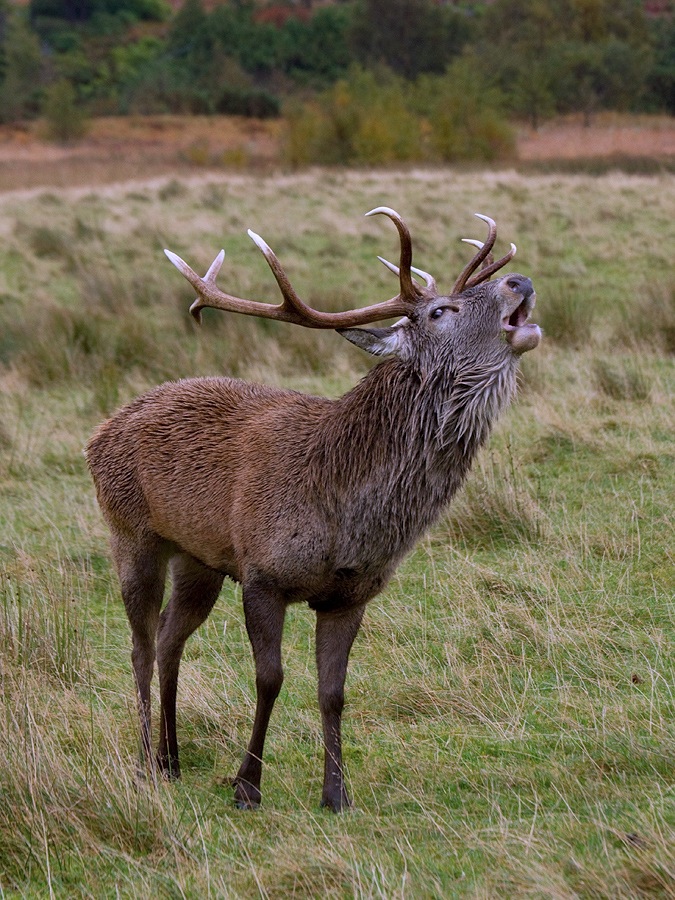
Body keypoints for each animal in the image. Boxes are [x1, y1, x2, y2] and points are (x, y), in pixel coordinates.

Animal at [86, 207, 540, 812]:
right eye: (441, 311)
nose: (520, 281)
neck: (343, 516)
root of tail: (100, 432)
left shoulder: (351, 594)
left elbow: (334, 692)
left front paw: (336, 793)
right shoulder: (262, 572)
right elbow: (270, 678)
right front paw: (247, 786)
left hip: (199, 560)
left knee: (167, 640)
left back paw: (172, 760)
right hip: (130, 531)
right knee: (139, 646)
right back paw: (142, 763)